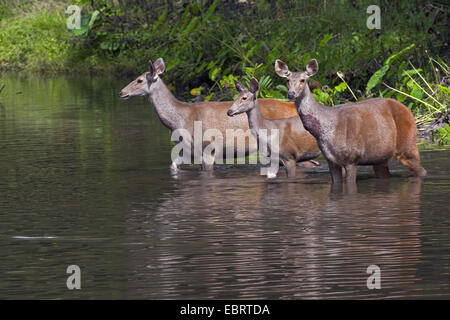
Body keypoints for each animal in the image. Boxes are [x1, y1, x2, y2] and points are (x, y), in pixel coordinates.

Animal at [119, 58, 302, 171]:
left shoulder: (208, 147)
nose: (121, 92)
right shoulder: (189, 150)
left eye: (139, 80)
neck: (180, 120)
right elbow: (174, 165)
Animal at [274, 58, 426, 184]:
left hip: (408, 145)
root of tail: (408, 111)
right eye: (287, 80)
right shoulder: (332, 161)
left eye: (303, 80)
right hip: (380, 158)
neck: (324, 129)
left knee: (422, 171)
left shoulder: (351, 158)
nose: (291, 94)